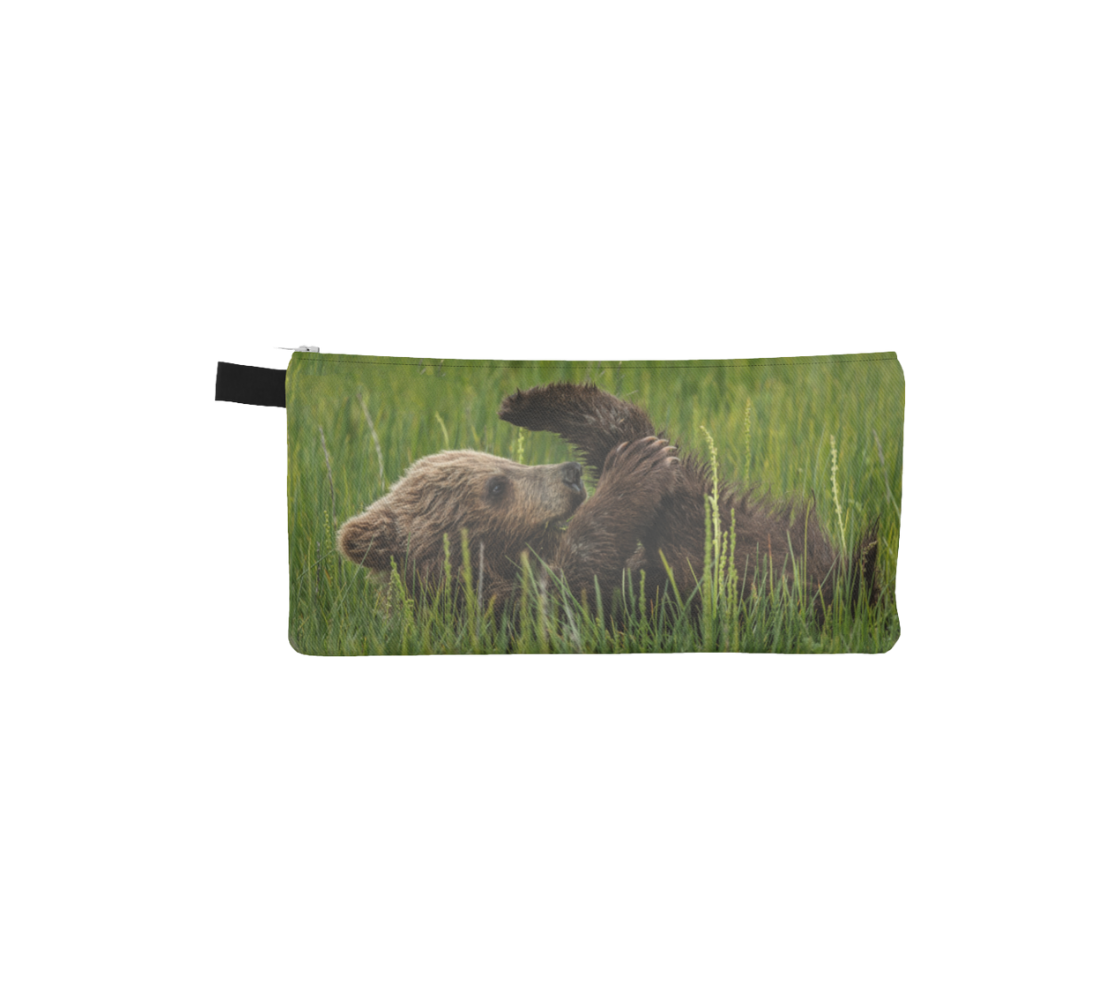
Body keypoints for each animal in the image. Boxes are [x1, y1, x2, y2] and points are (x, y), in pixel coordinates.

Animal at [337, 382, 877, 621]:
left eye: (501, 460)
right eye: (495, 486)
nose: (570, 475)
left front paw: (524, 403)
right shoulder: (503, 607)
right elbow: (574, 580)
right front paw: (633, 471)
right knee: (713, 529)